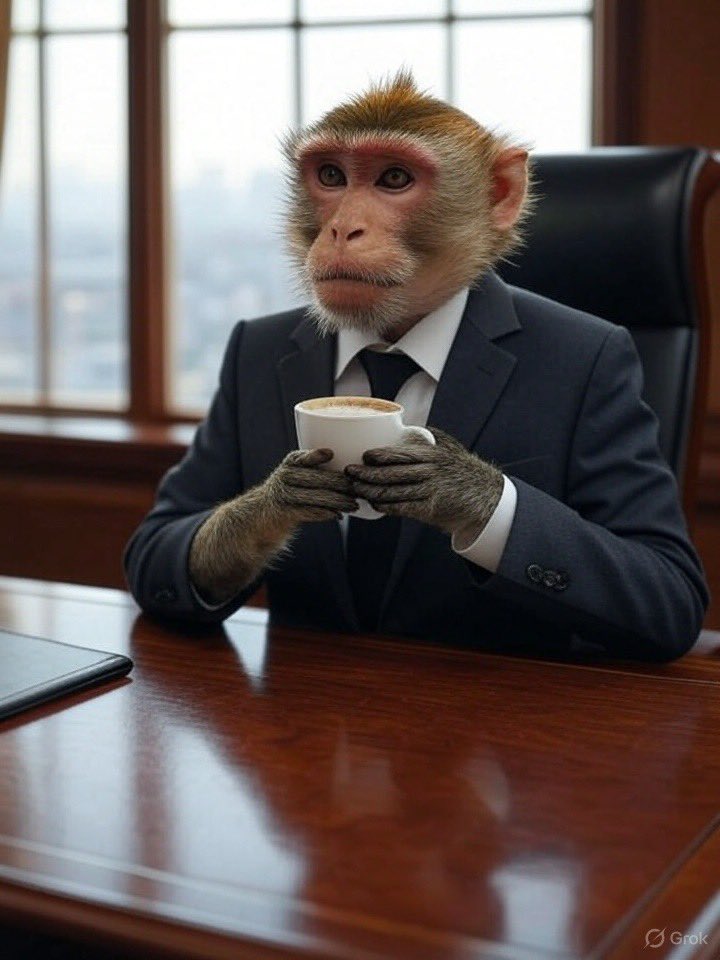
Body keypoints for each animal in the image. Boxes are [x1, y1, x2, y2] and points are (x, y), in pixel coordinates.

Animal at [189, 70, 530, 607]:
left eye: (394, 178)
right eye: (332, 176)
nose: (343, 229)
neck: (390, 340)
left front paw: (455, 484)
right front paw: (282, 493)